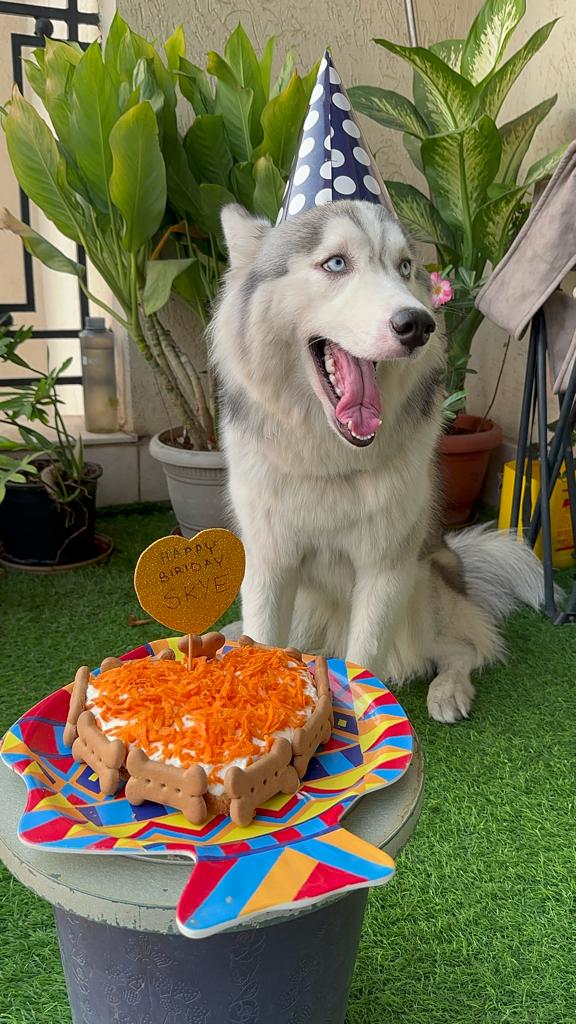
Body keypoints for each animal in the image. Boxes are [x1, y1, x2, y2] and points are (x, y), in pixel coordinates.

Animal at [208, 201, 545, 720]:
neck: (330, 462)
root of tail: (461, 567)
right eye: (336, 263)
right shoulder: (270, 564)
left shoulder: (383, 571)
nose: (419, 325)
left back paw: (448, 692)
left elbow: (364, 662)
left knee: (467, 648)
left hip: (421, 593)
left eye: (404, 267)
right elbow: (262, 639)